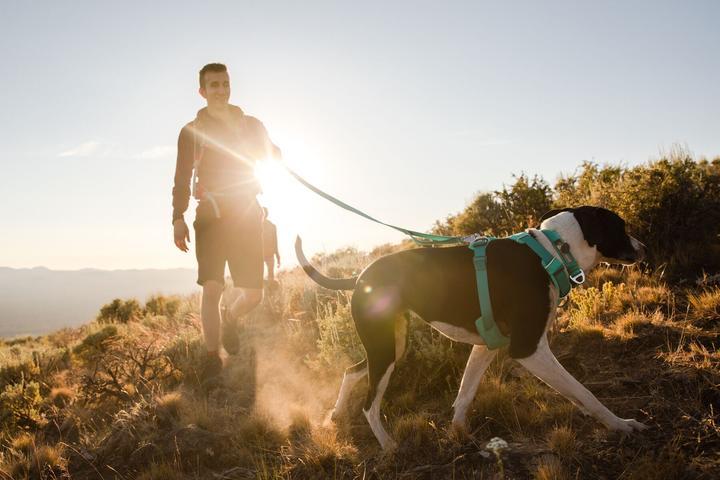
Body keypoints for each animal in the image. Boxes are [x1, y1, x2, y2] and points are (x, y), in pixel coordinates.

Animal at [296, 206, 648, 450]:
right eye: (620, 226)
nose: (643, 247)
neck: (551, 252)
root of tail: (359, 277)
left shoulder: (487, 345)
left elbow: (465, 394)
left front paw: (458, 433)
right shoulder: (529, 349)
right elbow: (582, 391)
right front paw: (620, 424)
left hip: (390, 346)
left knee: (351, 371)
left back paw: (336, 415)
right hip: (384, 349)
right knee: (369, 405)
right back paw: (388, 446)